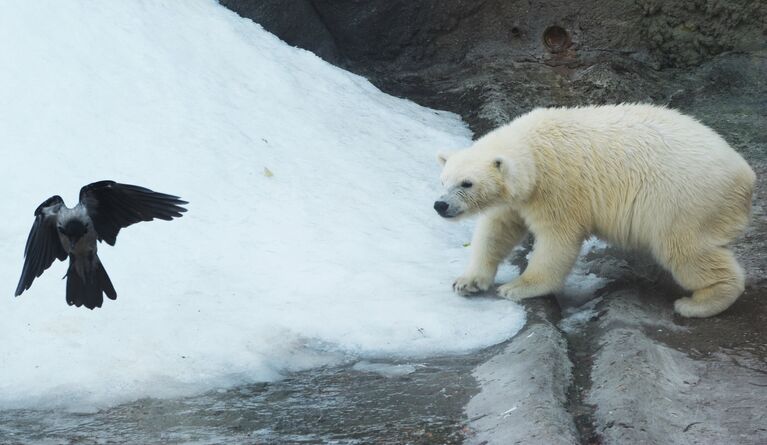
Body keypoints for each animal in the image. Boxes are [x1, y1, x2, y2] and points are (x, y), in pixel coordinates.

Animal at [436, 104, 760, 318]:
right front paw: (467, 281)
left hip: (684, 200)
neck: (533, 149)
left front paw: (518, 287)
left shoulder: (558, 188)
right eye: (443, 179)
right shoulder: (517, 200)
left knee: (685, 250)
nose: (441, 206)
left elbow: (557, 241)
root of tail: (746, 175)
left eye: (467, 183)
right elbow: (497, 230)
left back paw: (698, 303)